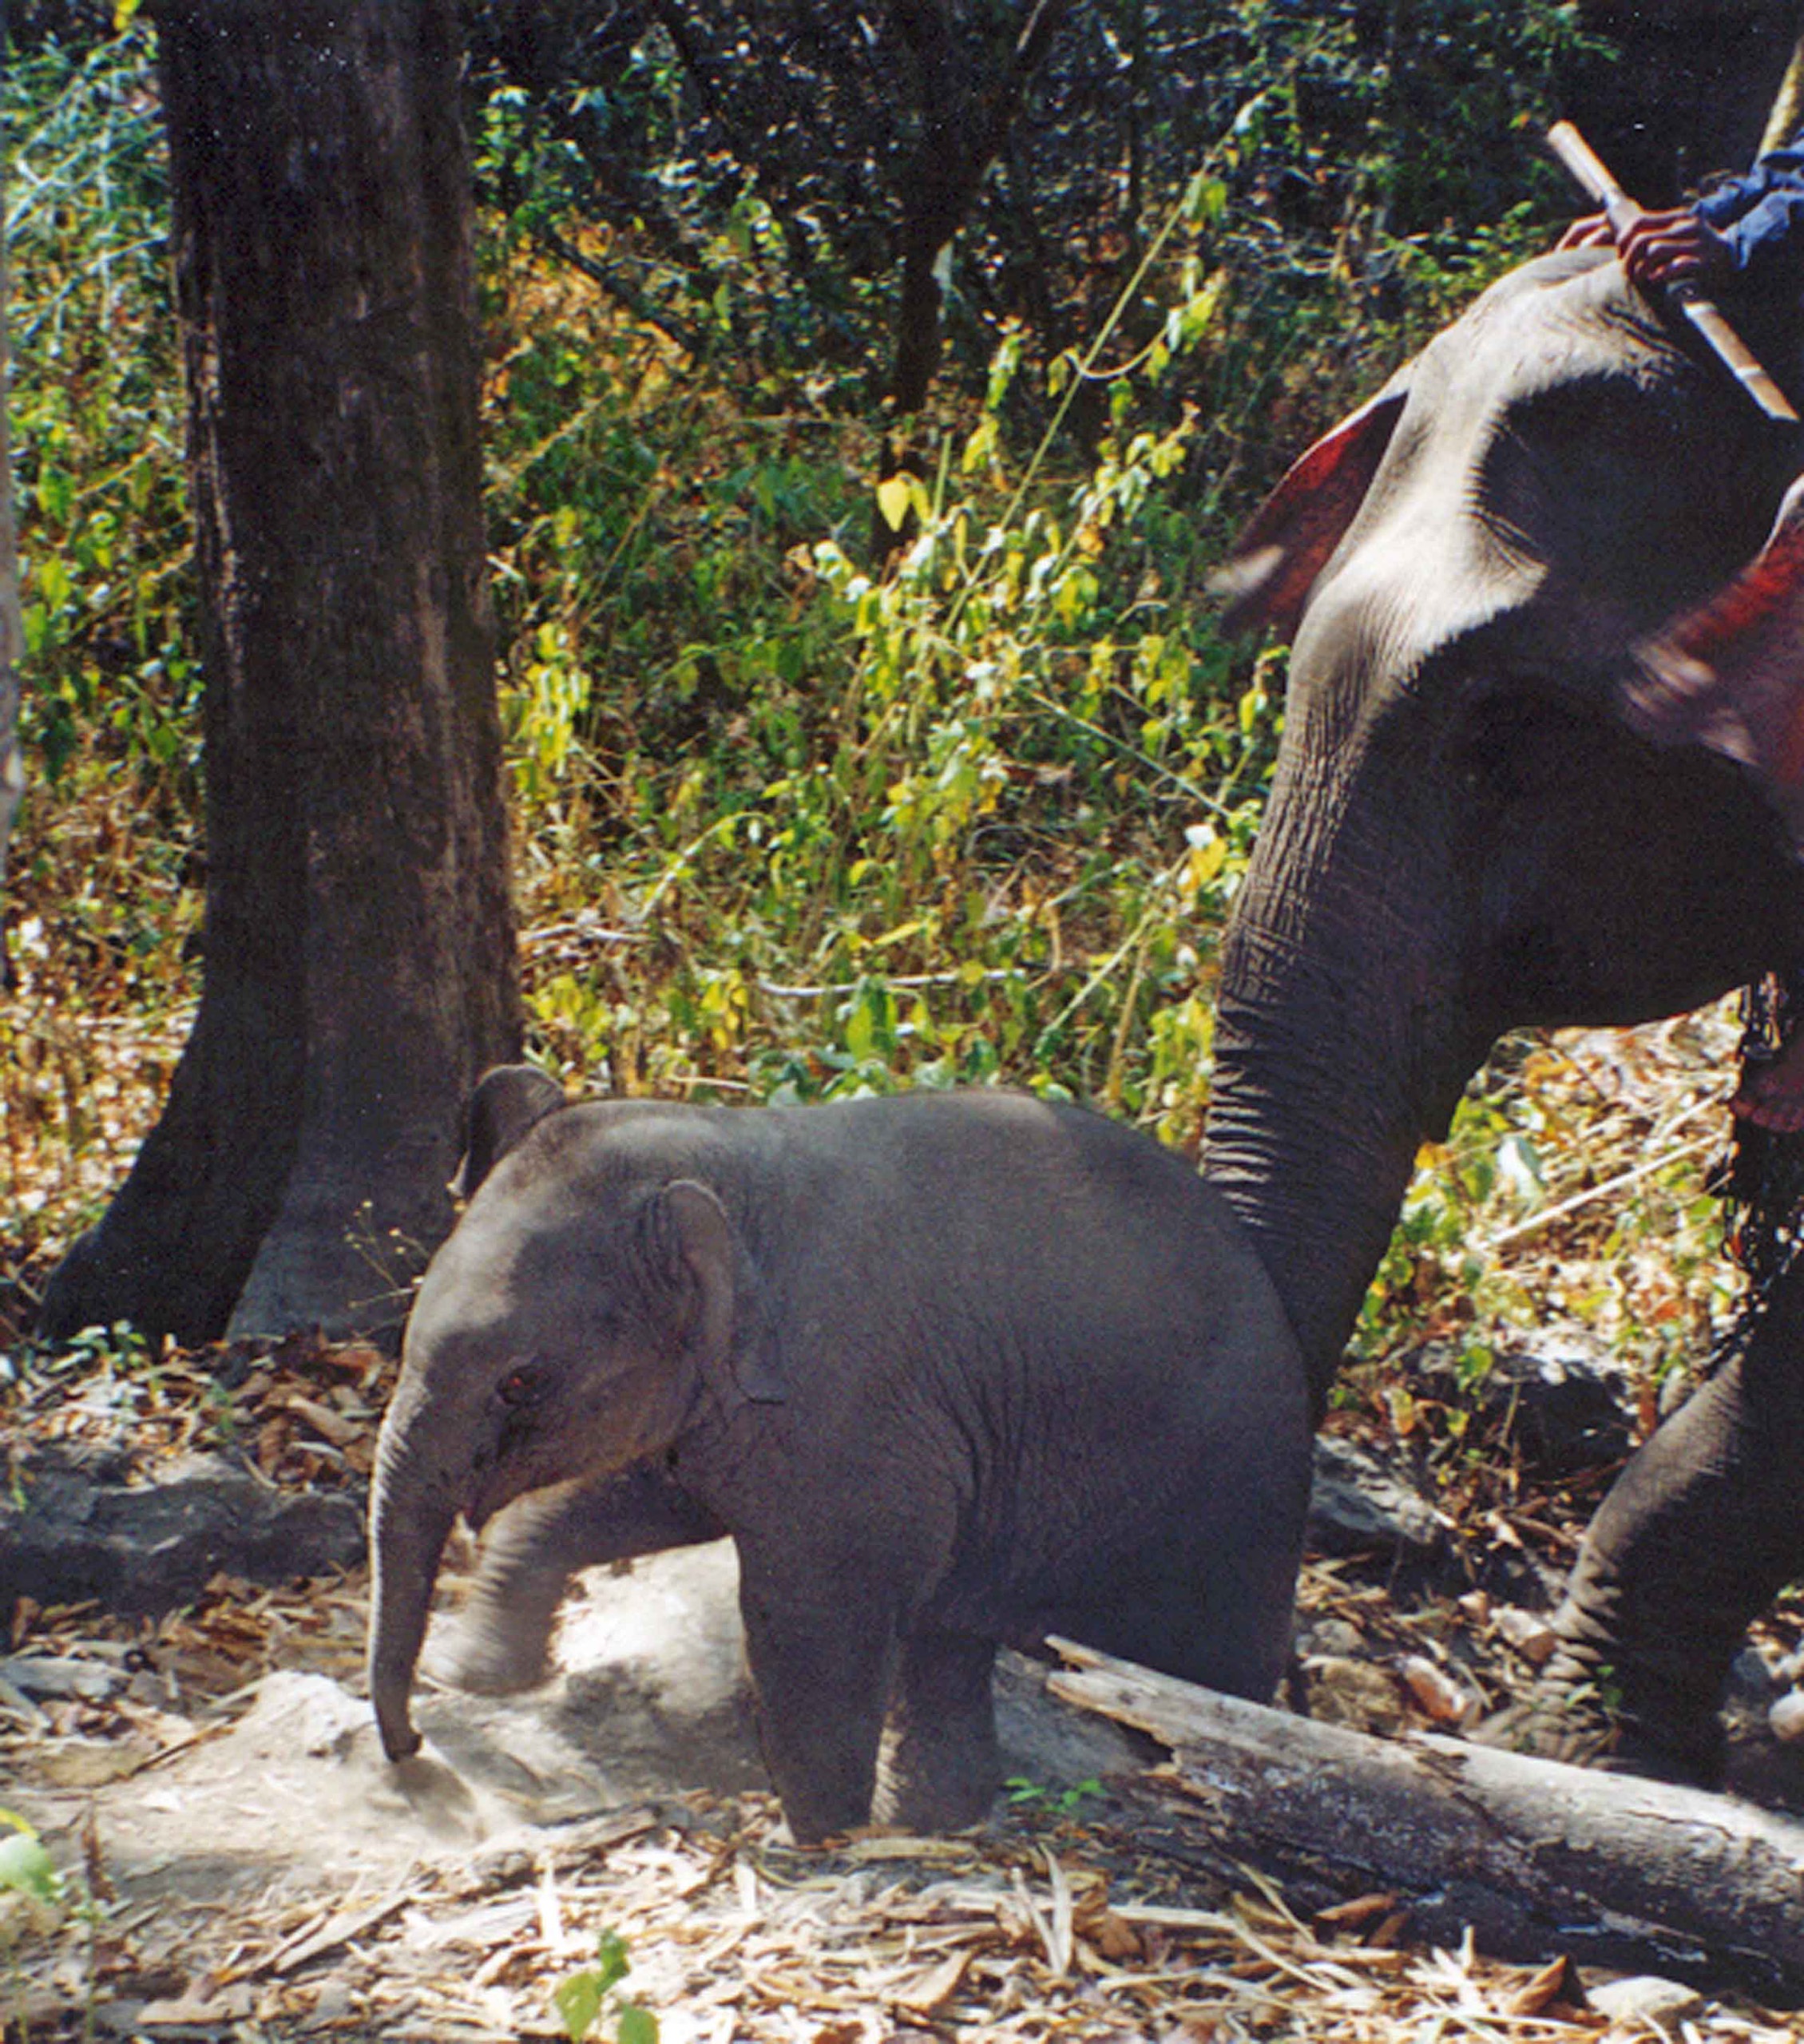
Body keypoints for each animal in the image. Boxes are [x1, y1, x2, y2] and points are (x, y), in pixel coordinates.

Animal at [367, 1066, 1310, 1843]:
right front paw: (469, 1673)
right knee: (946, 1647)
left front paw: (814, 1836)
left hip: (1227, 1531)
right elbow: (634, 1496)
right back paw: (937, 1823)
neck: (725, 1162)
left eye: (522, 1381)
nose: (413, 1750)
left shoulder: (854, 1401)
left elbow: (814, 1607)